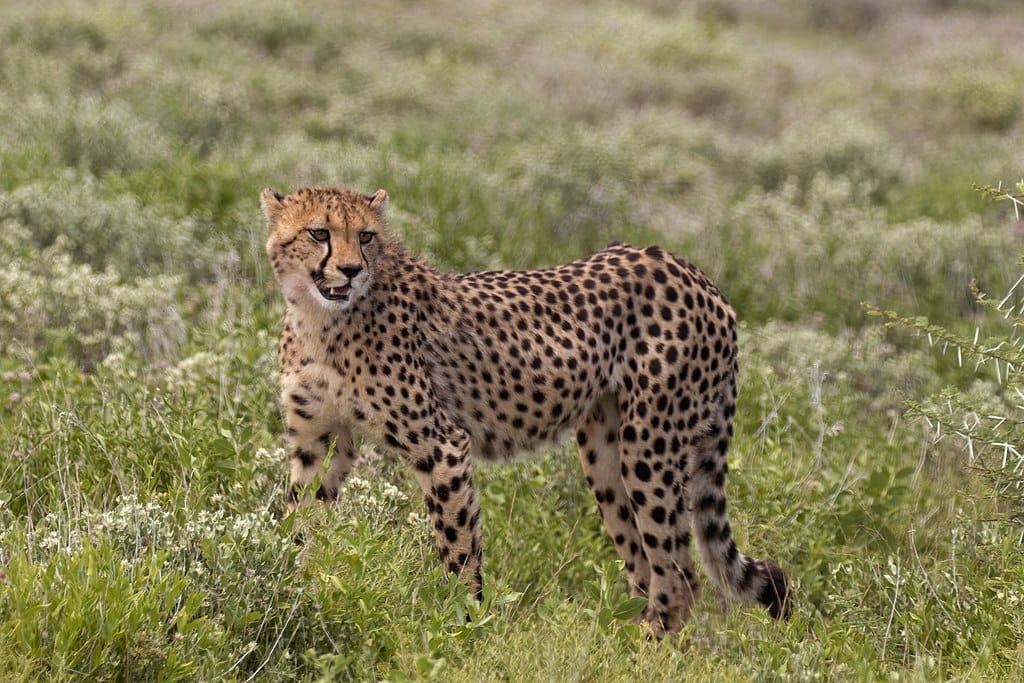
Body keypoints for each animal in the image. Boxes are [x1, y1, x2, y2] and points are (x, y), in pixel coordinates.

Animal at [261, 184, 790, 635]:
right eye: (319, 233)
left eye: (366, 237)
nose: (351, 270)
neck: (320, 318)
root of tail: (693, 272)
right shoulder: (318, 442)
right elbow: (299, 523)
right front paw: (289, 590)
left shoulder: (442, 445)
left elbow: (458, 549)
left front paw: (463, 629)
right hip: (605, 457)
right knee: (649, 568)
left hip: (650, 447)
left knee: (680, 578)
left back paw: (644, 651)